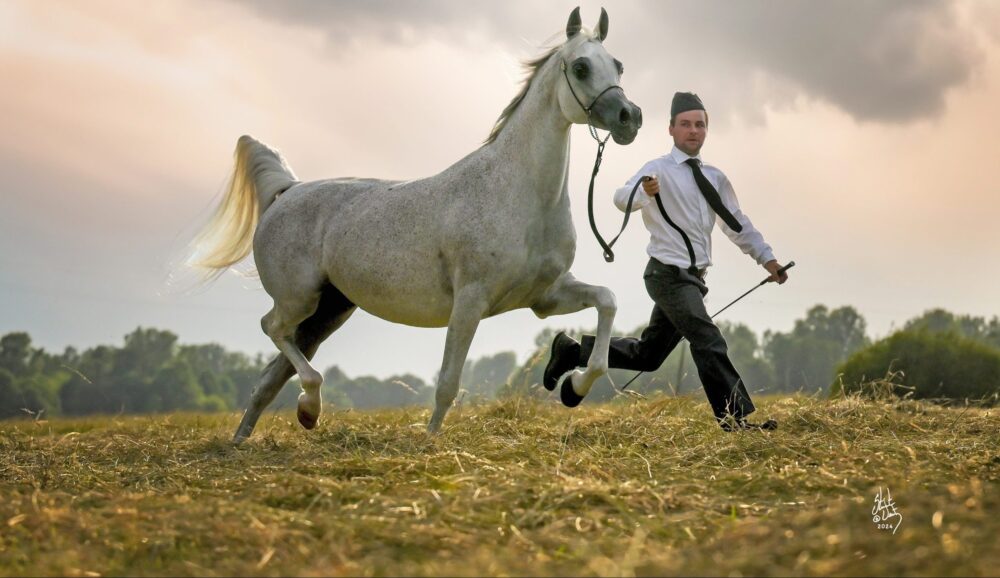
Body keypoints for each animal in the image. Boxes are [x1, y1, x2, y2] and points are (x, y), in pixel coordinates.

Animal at [189, 7, 642, 443]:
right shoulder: (470, 301)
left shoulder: (545, 296)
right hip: (299, 301)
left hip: (329, 311)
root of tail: (290, 189)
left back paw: (260, 433)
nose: (629, 118)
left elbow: (607, 304)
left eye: (618, 65)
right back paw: (308, 409)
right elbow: (448, 382)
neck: (520, 194)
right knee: (273, 331)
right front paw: (430, 440)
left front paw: (575, 386)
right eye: (581, 67)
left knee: (270, 376)